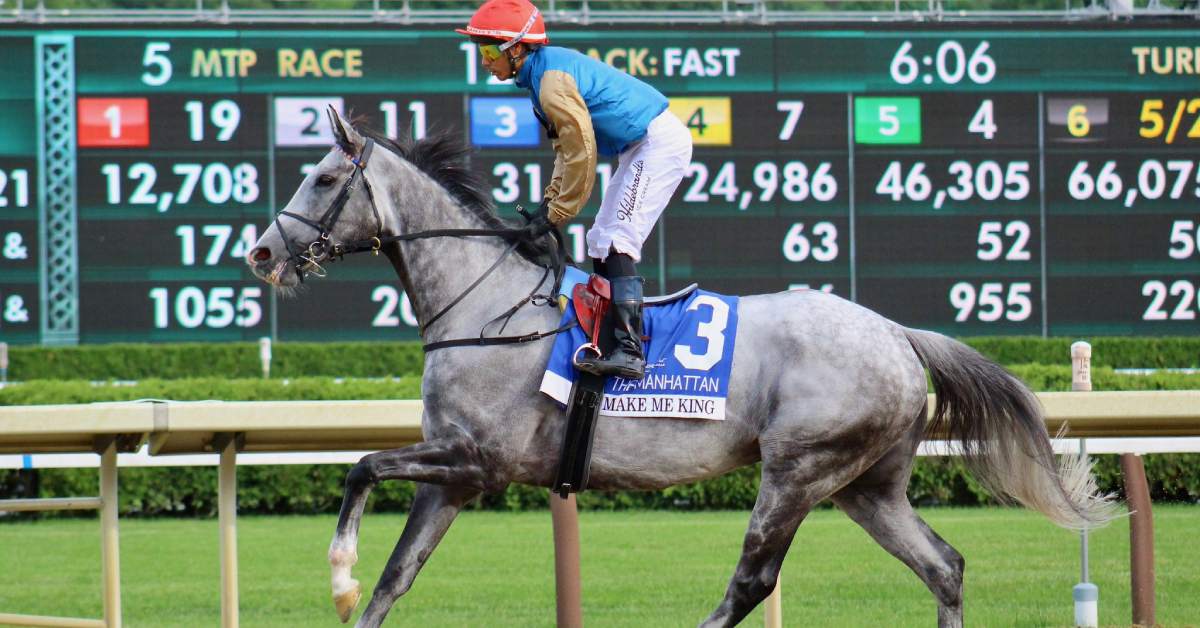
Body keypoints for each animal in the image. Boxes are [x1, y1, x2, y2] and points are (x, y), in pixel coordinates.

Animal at [245, 107, 1115, 628]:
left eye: (324, 178)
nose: (261, 253)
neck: (486, 308)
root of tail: (898, 334)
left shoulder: (477, 461)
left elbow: (360, 465)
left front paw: (337, 572)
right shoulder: (452, 476)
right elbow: (396, 577)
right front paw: (355, 586)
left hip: (798, 470)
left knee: (752, 580)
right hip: (865, 485)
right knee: (944, 565)